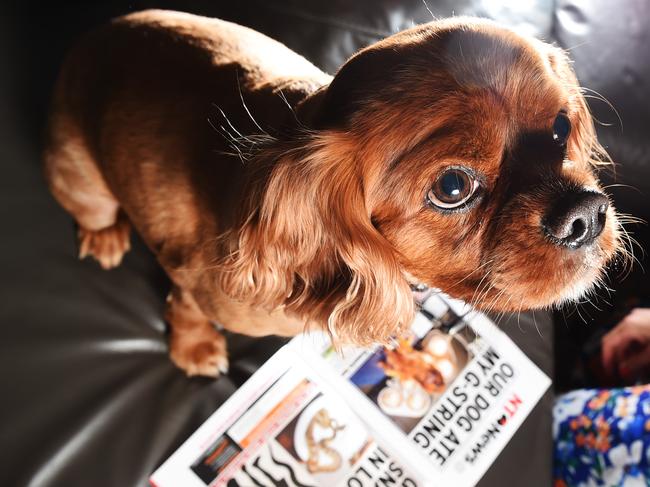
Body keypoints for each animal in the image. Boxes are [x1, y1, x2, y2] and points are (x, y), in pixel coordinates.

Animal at [43, 10, 620, 378]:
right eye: (452, 187)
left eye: (560, 128)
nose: (586, 215)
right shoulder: (191, 276)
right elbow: (186, 305)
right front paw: (195, 347)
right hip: (82, 180)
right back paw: (105, 235)